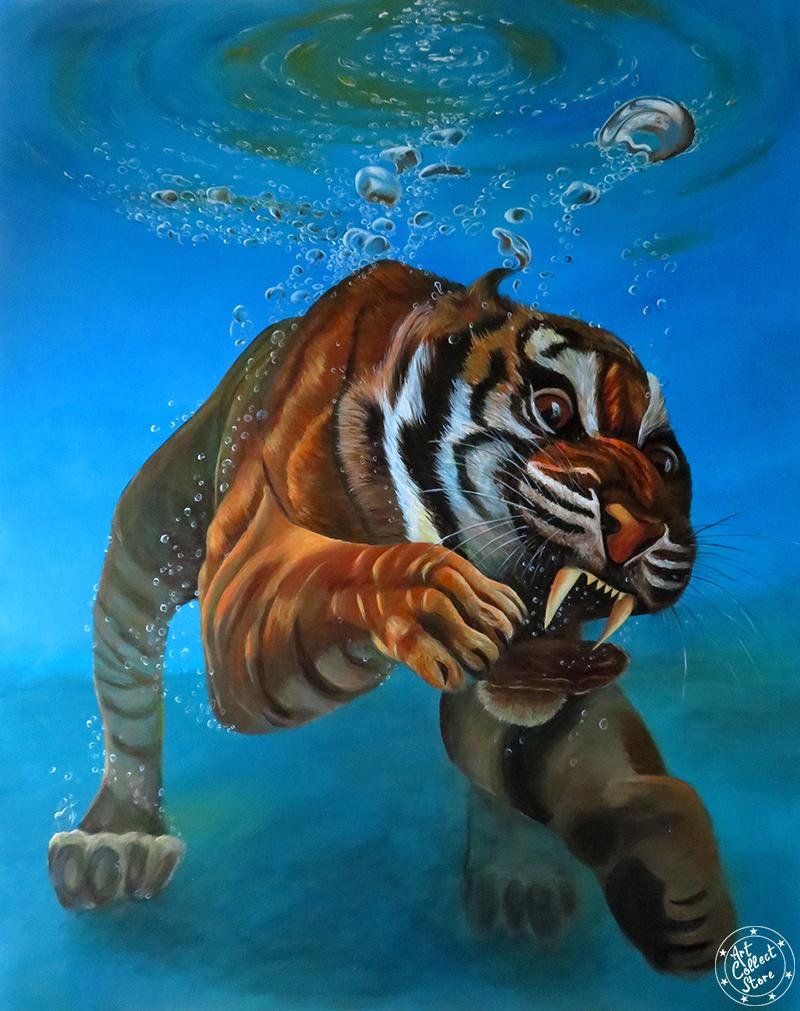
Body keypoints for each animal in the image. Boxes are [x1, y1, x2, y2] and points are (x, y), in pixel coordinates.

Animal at [48, 259, 734, 976]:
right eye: (554, 410)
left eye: (666, 463)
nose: (645, 532)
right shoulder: (245, 579)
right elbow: (334, 578)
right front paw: (429, 596)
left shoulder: (547, 674)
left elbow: (559, 751)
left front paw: (672, 872)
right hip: (155, 525)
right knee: (126, 669)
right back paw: (116, 842)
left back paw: (519, 881)